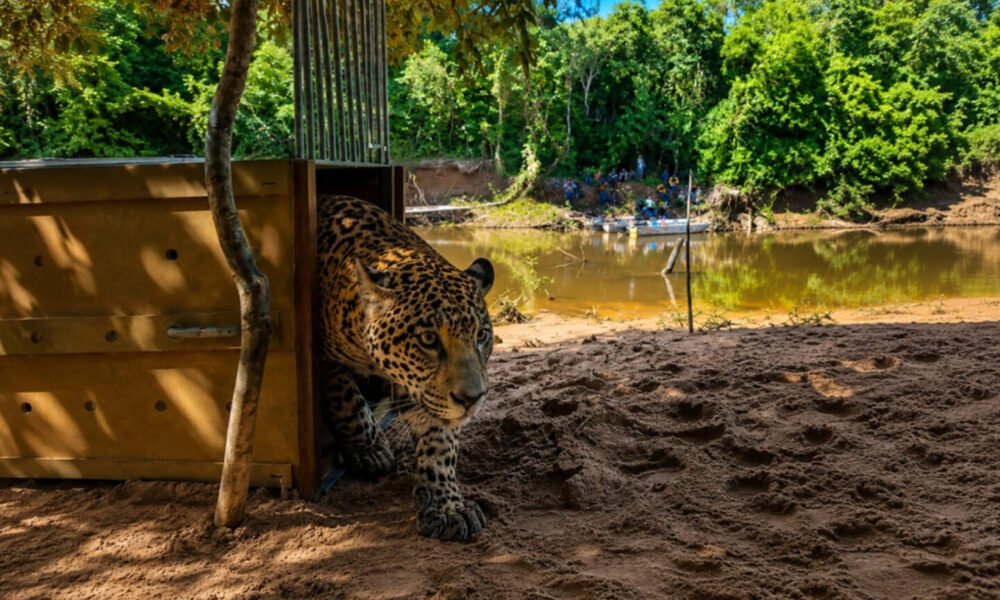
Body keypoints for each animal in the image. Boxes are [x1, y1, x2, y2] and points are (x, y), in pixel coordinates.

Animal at [317, 196, 495, 542]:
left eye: (481, 335)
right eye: (428, 339)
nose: (472, 399)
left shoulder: (430, 396)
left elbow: (440, 444)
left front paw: (447, 506)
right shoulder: (323, 357)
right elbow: (347, 400)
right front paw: (371, 451)